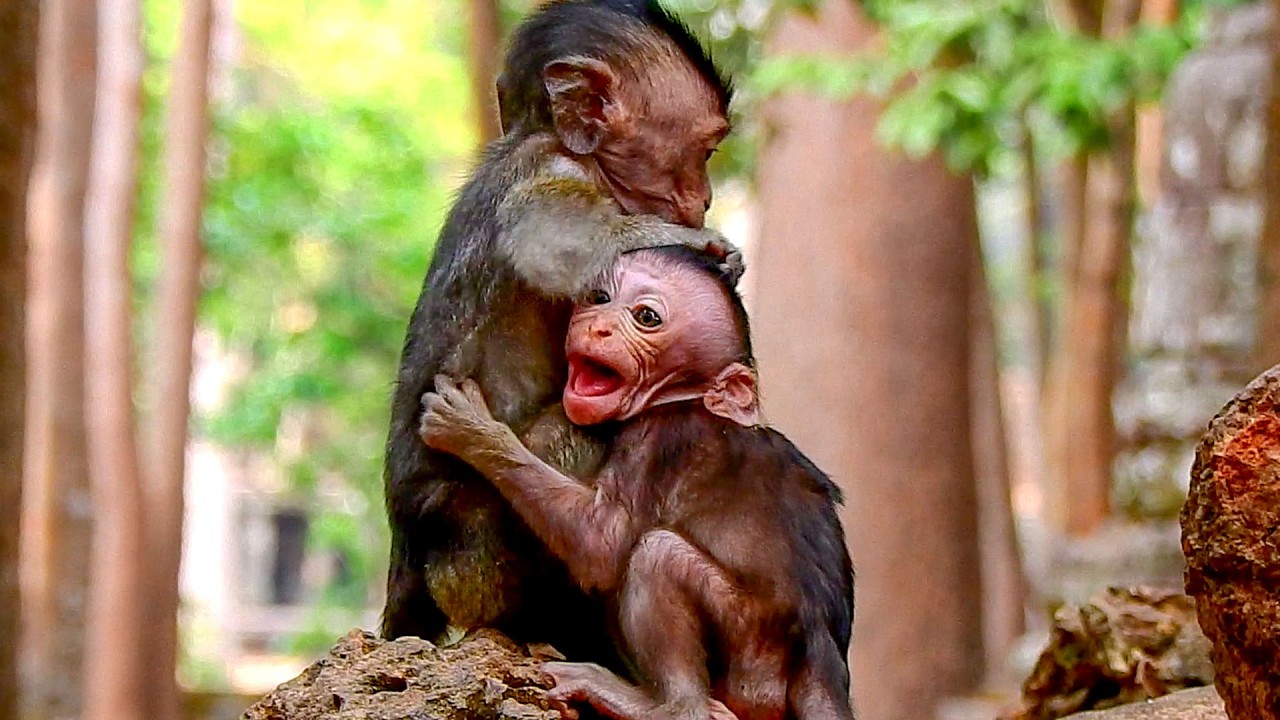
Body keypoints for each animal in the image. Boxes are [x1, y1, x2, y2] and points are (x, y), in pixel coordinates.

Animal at [381, 0, 740, 665]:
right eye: (704, 152)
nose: (703, 199)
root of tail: (409, 554)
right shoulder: (552, 171)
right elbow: (560, 246)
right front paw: (703, 245)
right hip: (474, 555)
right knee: (579, 436)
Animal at [421, 246, 857, 720]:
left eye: (647, 317)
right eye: (599, 297)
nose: (599, 325)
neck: (682, 396)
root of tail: (820, 657)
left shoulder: (656, 441)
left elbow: (602, 542)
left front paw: (471, 429)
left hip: (751, 651)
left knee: (655, 555)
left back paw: (662, 703)